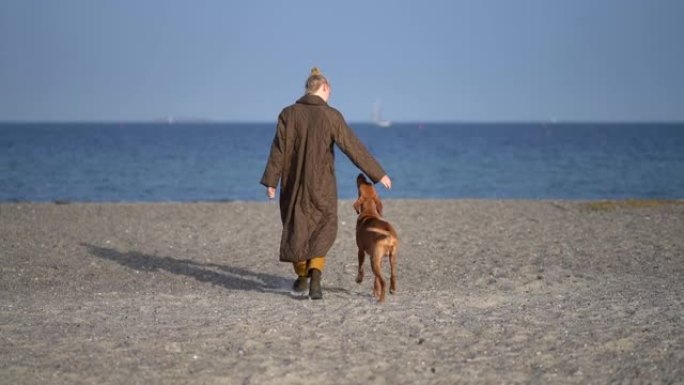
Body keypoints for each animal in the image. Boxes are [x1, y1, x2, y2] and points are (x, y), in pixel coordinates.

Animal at [356, 172, 398, 302]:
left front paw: (359, 279)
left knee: (383, 281)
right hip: (390, 258)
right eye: (368, 183)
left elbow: (360, 267)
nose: (361, 174)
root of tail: (388, 235)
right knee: (392, 275)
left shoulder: (361, 250)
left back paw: (381, 300)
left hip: (374, 261)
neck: (370, 212)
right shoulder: (375, 256)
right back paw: (392, 290)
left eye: (360, 187)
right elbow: (376, 279)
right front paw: (375, 291)